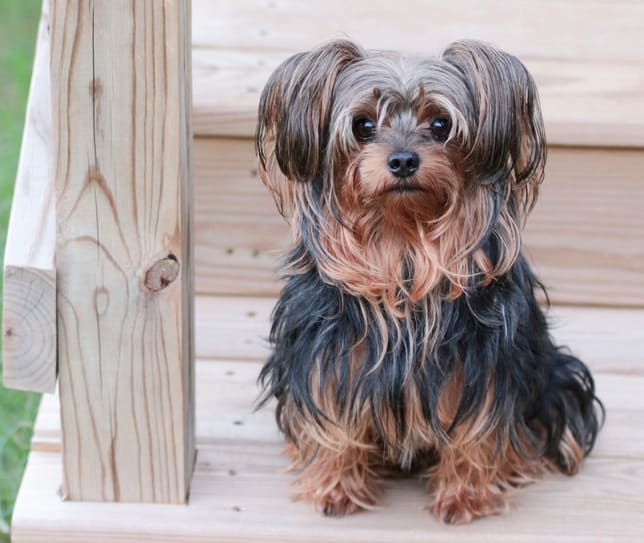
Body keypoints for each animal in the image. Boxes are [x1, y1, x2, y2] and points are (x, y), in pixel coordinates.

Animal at [255, 38, 604, 524]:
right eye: (363, 125)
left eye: (441, 124)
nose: (403, 160)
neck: (403, 250)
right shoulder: (325, 351)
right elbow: (333, 416)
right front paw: (336, 488)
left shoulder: (484, 363)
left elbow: (476, 428)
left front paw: (463, 497)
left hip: (559, 376)